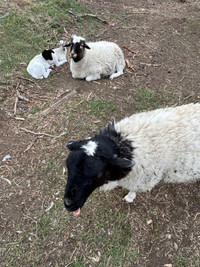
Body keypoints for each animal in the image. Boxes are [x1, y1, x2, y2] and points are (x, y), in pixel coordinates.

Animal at [63, 103, 200, 217]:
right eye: (68, 166)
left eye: (97, 175)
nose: (68, 204)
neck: (124, 144)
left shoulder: (143, 179)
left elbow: (134, 189)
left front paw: (129, 197)